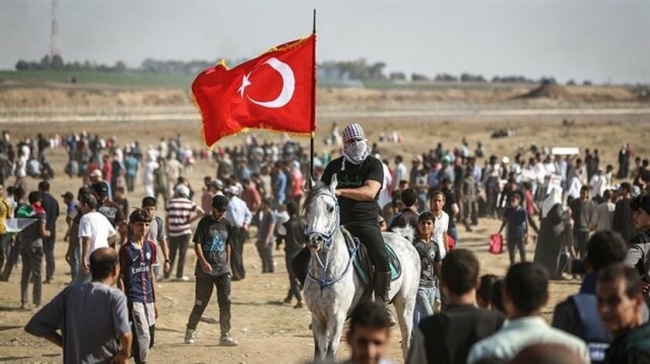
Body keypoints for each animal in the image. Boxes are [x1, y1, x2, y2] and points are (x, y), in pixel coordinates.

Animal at [302, 176, 418, 362]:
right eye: (307, 208)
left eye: (330, 208)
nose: (314, 239)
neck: (325, 273)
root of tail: (403, 239)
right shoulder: (318, 318)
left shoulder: (337, 318)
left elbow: (330, 354)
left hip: (406, 303)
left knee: (407, 344)